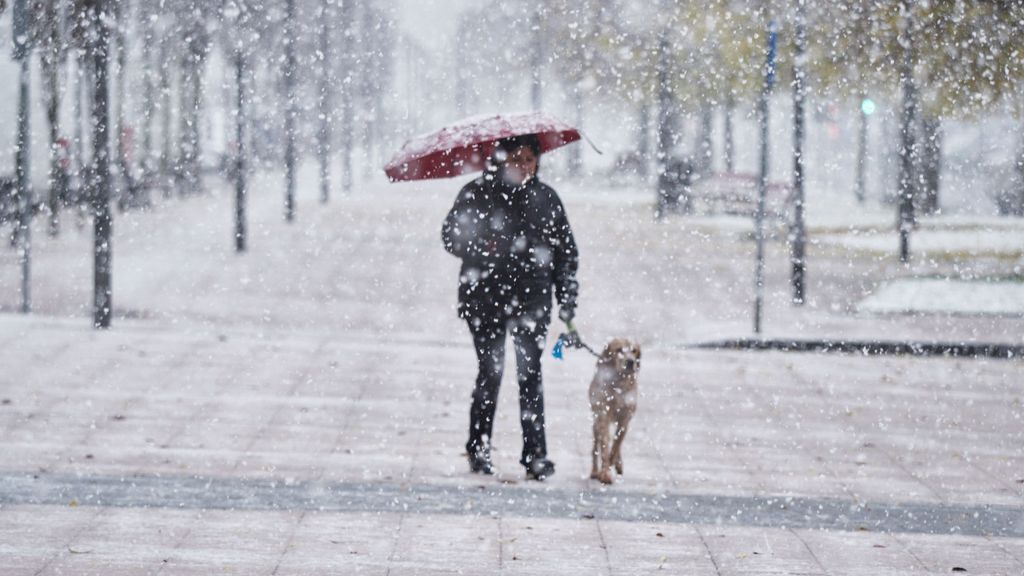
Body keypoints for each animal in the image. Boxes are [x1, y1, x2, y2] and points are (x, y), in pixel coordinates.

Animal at [593, 338, 638, 481]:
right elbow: (605, 446)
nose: (630, 362)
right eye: (619, 350)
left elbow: (617, 443)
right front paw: (605, 474)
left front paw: (613, 460)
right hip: (596, 422)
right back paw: (594, 471)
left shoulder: (625, 419)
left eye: (634, 350)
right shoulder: (603, 416)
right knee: (596, 447)